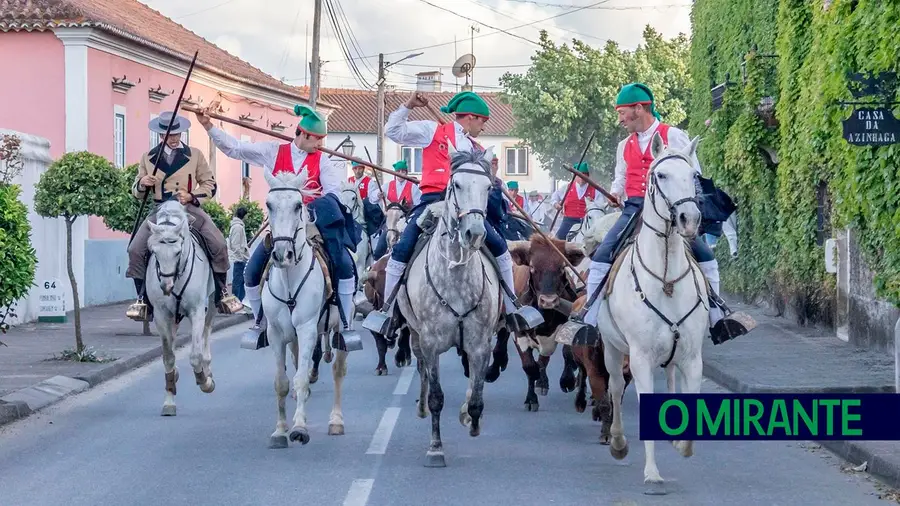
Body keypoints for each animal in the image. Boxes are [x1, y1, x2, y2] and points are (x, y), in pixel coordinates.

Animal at [148, 200, 220, 418]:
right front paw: (169, 401)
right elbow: (168, 358)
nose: (166, 286)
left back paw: (208, 370)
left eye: (177, 252)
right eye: (154, 252)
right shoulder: (162, 315)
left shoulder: (196, 311)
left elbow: (195, 356)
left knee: (206, 333)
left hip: (211, 304)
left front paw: (205, 381)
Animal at [260, 168, 348, 448]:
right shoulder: (276, 333)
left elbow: (299, 378)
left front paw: (299, 428)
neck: (290, 278)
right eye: (269, 204)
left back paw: (336, 421)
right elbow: (282, 382)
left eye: (298, 205)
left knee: (337, 371)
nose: (281, 254)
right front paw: (280, 431)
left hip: (340, 330)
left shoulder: (308, 328)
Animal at [596, 132, 712, 496]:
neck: (665, 278)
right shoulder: (640, 358)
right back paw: (618, 442)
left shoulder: (692, 358)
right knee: (615, 387)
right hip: (612, 350)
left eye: (693, 175)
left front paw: (681, 444)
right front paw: (652, 474)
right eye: (660, 175)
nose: (689, 219)